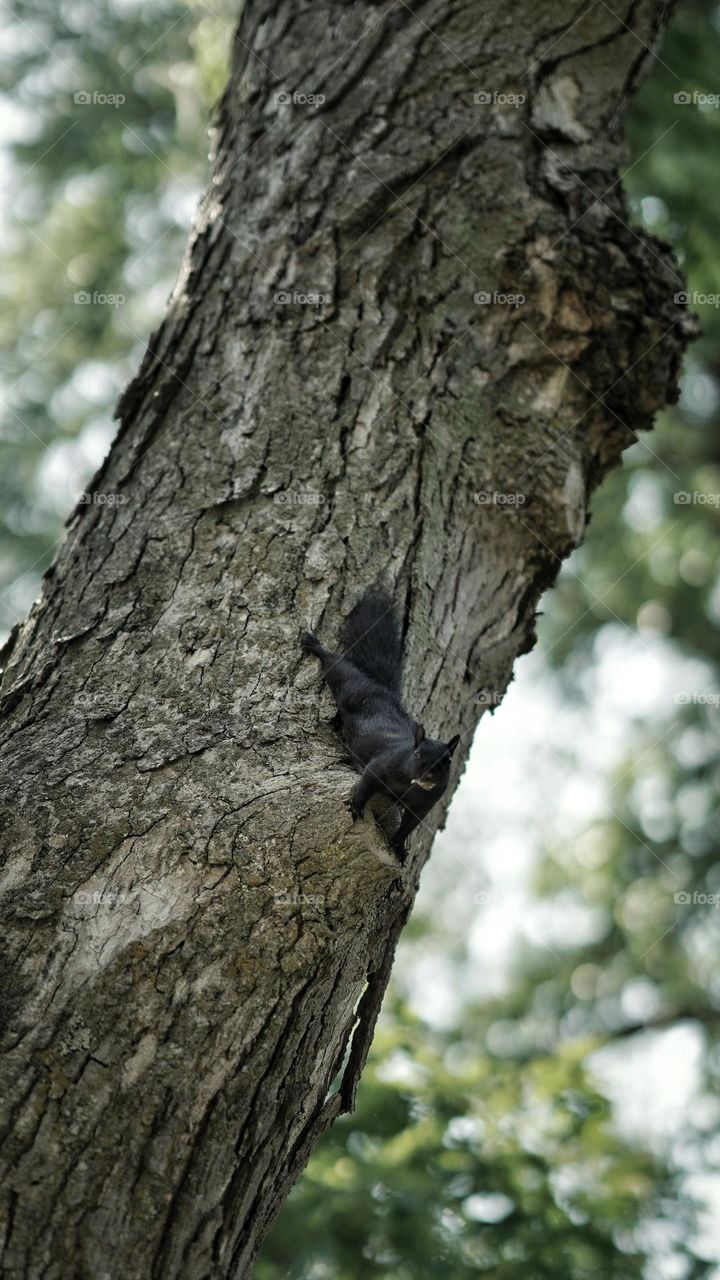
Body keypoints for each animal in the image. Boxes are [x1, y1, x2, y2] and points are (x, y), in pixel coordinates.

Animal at [301, 590, 459, 863]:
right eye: (417, 753)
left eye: (447, 761)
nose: (428, 773)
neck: (409, 786)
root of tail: (383, 692)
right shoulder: (381, 764)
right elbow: (366, 783)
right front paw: (357, 804)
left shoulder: (424, 805)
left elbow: (408, 826)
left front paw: (398, 845)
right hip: (350, 686)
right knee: (337, 665)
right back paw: (315, 646)